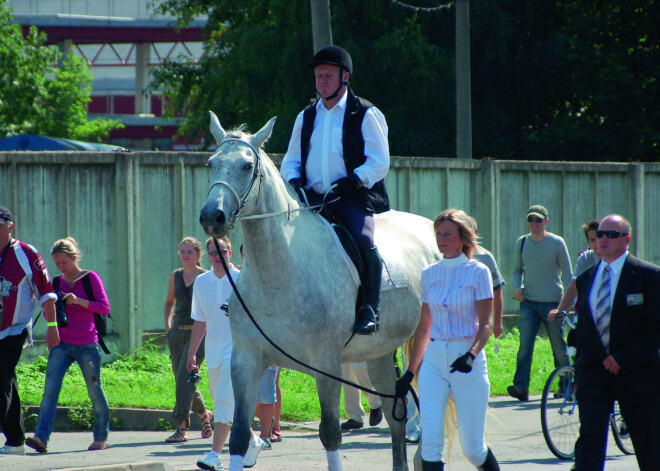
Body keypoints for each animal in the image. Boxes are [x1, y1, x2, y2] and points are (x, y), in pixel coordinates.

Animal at [199, 113, 440, 471]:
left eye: (246, 166)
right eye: (211, 163)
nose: (211, 216)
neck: (278, 275)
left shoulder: (326, 366)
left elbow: (330, 434)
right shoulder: (246, 360)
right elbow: (239, 436)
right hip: (379, 353)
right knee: (394, 415)